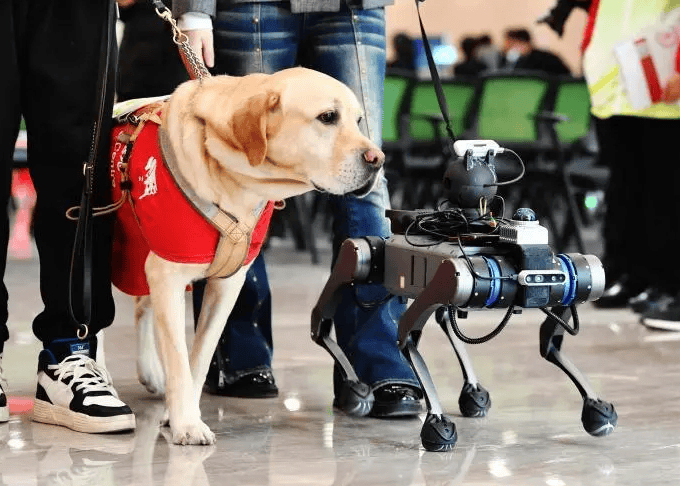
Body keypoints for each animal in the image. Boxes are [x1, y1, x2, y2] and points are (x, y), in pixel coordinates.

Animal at [310, 140, 620, 452]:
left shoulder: (575, 282)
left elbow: (550, 342)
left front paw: (596, 405)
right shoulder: (449, 274)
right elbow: (406, 336)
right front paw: (437, 422)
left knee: (444, 317)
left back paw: (473, 390)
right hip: (368, 256)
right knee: (330, 302)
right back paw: (353, 385)